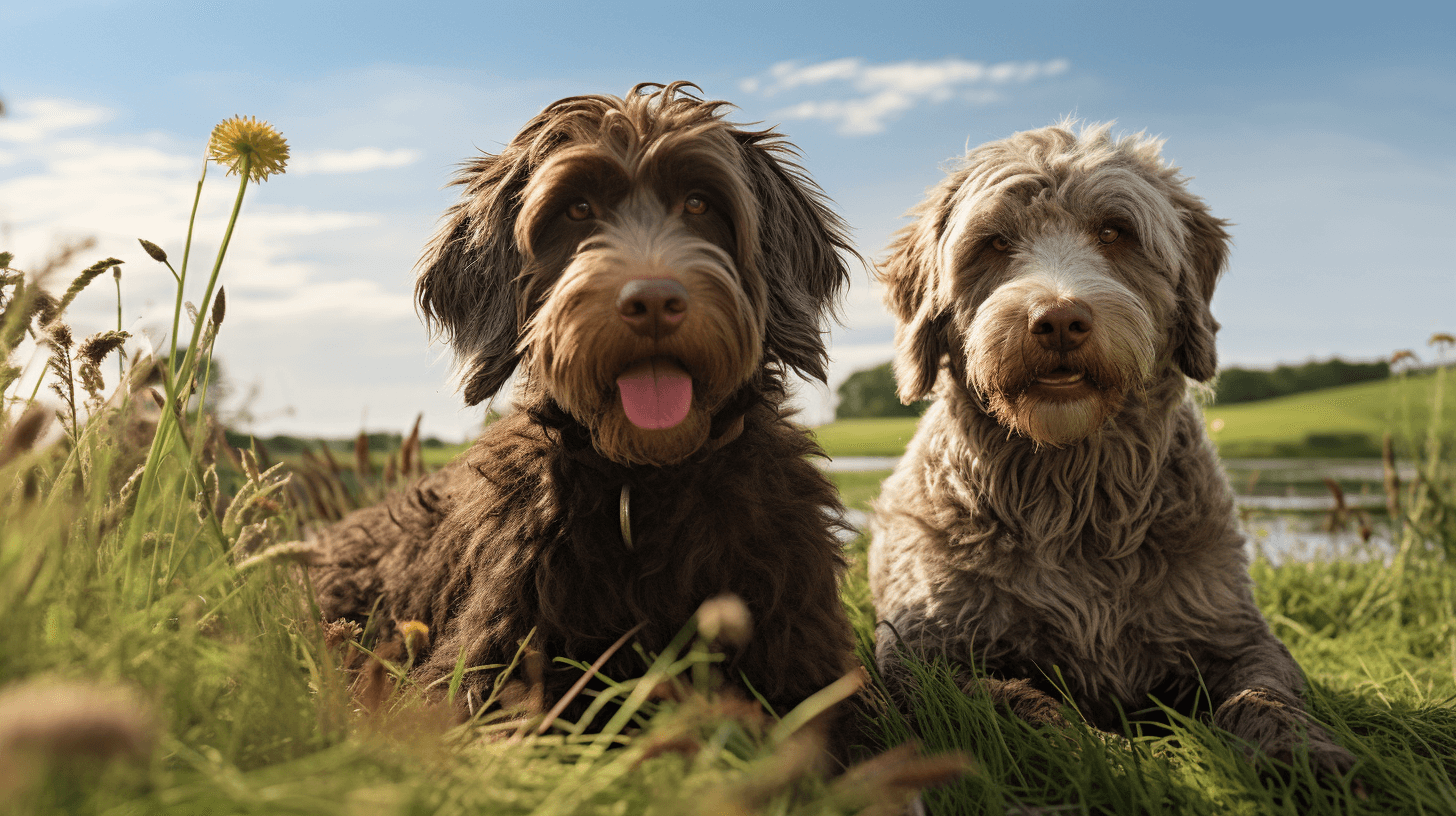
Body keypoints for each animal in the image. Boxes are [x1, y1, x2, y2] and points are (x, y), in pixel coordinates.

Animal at [304, 81, 850, 719]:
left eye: (698, 203)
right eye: (577, 209)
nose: (654, 302)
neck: (648, 486)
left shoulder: (808, 663)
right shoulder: (480, 672)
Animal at [861, 122, 1351, 775]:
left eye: (1115, 231)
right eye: (994, 242)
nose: (1058, 319)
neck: (1074, 492)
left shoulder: (1232, 631)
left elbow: (1263, 693)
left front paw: (1305, 752)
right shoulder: (921, 655)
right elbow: (1024, 702)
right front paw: (1122, 760)